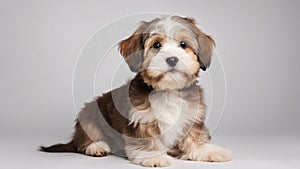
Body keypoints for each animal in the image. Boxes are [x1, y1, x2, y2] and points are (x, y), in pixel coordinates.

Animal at [40, 15, 232, 167]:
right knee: (84, 142)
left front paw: (207, 150)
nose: (172, 59)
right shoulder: (143, 119)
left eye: (183, 44)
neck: (167, 90)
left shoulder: (191, 116)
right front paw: (153, 156)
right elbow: (147, 138)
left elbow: (194, 136)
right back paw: (97, 147)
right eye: (156, 45)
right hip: (89, 116)